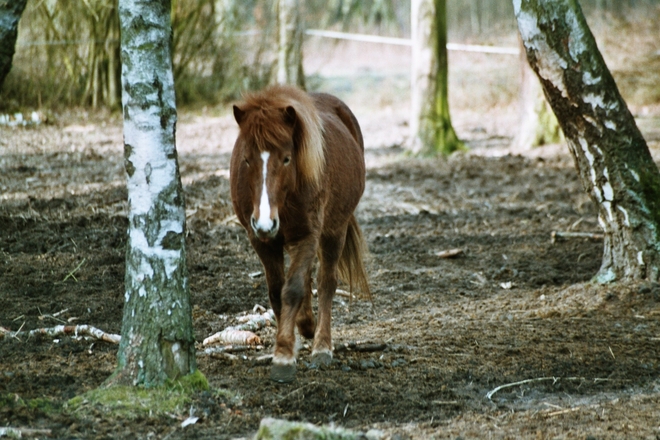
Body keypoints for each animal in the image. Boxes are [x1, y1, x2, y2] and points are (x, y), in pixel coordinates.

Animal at [229, 85, 368, 382]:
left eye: (286, 158)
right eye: (246, 159)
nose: (265, 222)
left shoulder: (308, 236)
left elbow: (292, 290)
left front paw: (283, 355)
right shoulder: (261, 241)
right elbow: (277, 291)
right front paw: (288, 343)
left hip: (334, 231)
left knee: (326, 283)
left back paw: (322, 346)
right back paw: (306, 326)